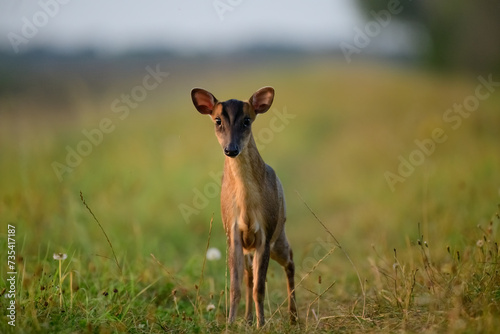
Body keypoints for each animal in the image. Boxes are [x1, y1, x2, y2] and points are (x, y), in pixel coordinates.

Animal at [189, 87, 294, 328]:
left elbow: (260, 288)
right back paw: (247, 319)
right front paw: (230, 324)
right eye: (218, 120)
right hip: (250, 247)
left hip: (279, 235)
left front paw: (262, 325)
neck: (246, 206)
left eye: (247, 120)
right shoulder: (232, 231)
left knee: (290, 259)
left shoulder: (266, 231)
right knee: (249, 276)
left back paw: (294, 317)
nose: (231, 149)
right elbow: (236, 286)